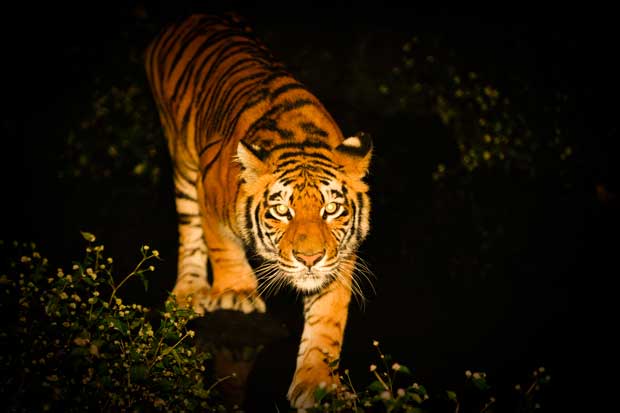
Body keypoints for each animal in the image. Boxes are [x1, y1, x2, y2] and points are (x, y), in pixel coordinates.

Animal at [143, 14, 370, 408]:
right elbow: (222, 246)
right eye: (281, 211)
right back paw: (189, 291)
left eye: (331, 209)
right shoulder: (207, 190)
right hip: (181, 159)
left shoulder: (339, 259)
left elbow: (327, 322)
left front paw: (318, 385)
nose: (309, 259)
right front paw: (237, 293)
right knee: (189, 230)